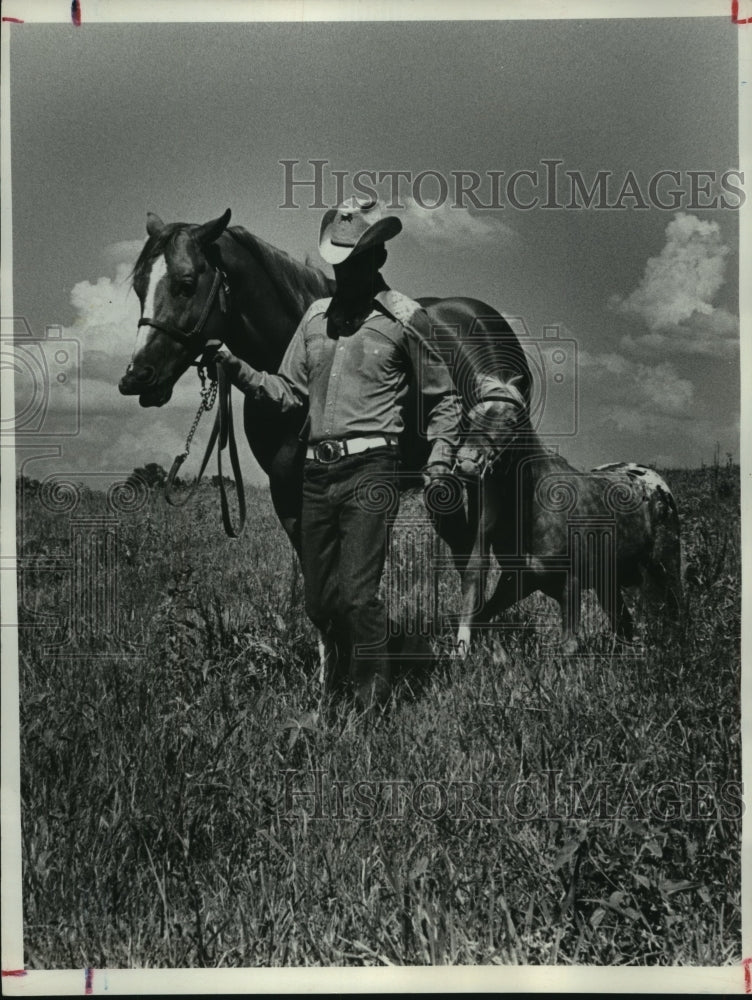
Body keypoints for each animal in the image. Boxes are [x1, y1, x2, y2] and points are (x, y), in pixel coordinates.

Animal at [452, 380, 688, 656]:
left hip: (665, 567)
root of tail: (655, 480)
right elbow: (482, 616)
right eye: (469, 418)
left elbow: (569, 646)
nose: (467, 464)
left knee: (677, 613)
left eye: (511, 421)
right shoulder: (519, 580)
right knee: (625, 624)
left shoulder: (570, 584)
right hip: (610, 582)